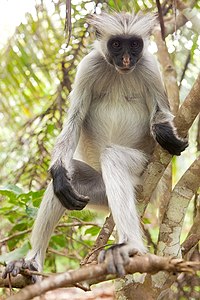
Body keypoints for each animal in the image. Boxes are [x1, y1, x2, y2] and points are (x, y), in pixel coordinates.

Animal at [2, 11, 188, 278]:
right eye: (116, 44)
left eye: (134, 44)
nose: (126, 59)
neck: (120, 73)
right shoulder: (88, 66)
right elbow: (74, 120)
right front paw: (59, 174)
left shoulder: (149, 67)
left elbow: (162, 112)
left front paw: (163, 132)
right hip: (98, 191)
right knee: (70, 176)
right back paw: (32, 262)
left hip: (143, 173)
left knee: (113, 157)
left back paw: (130, 246)